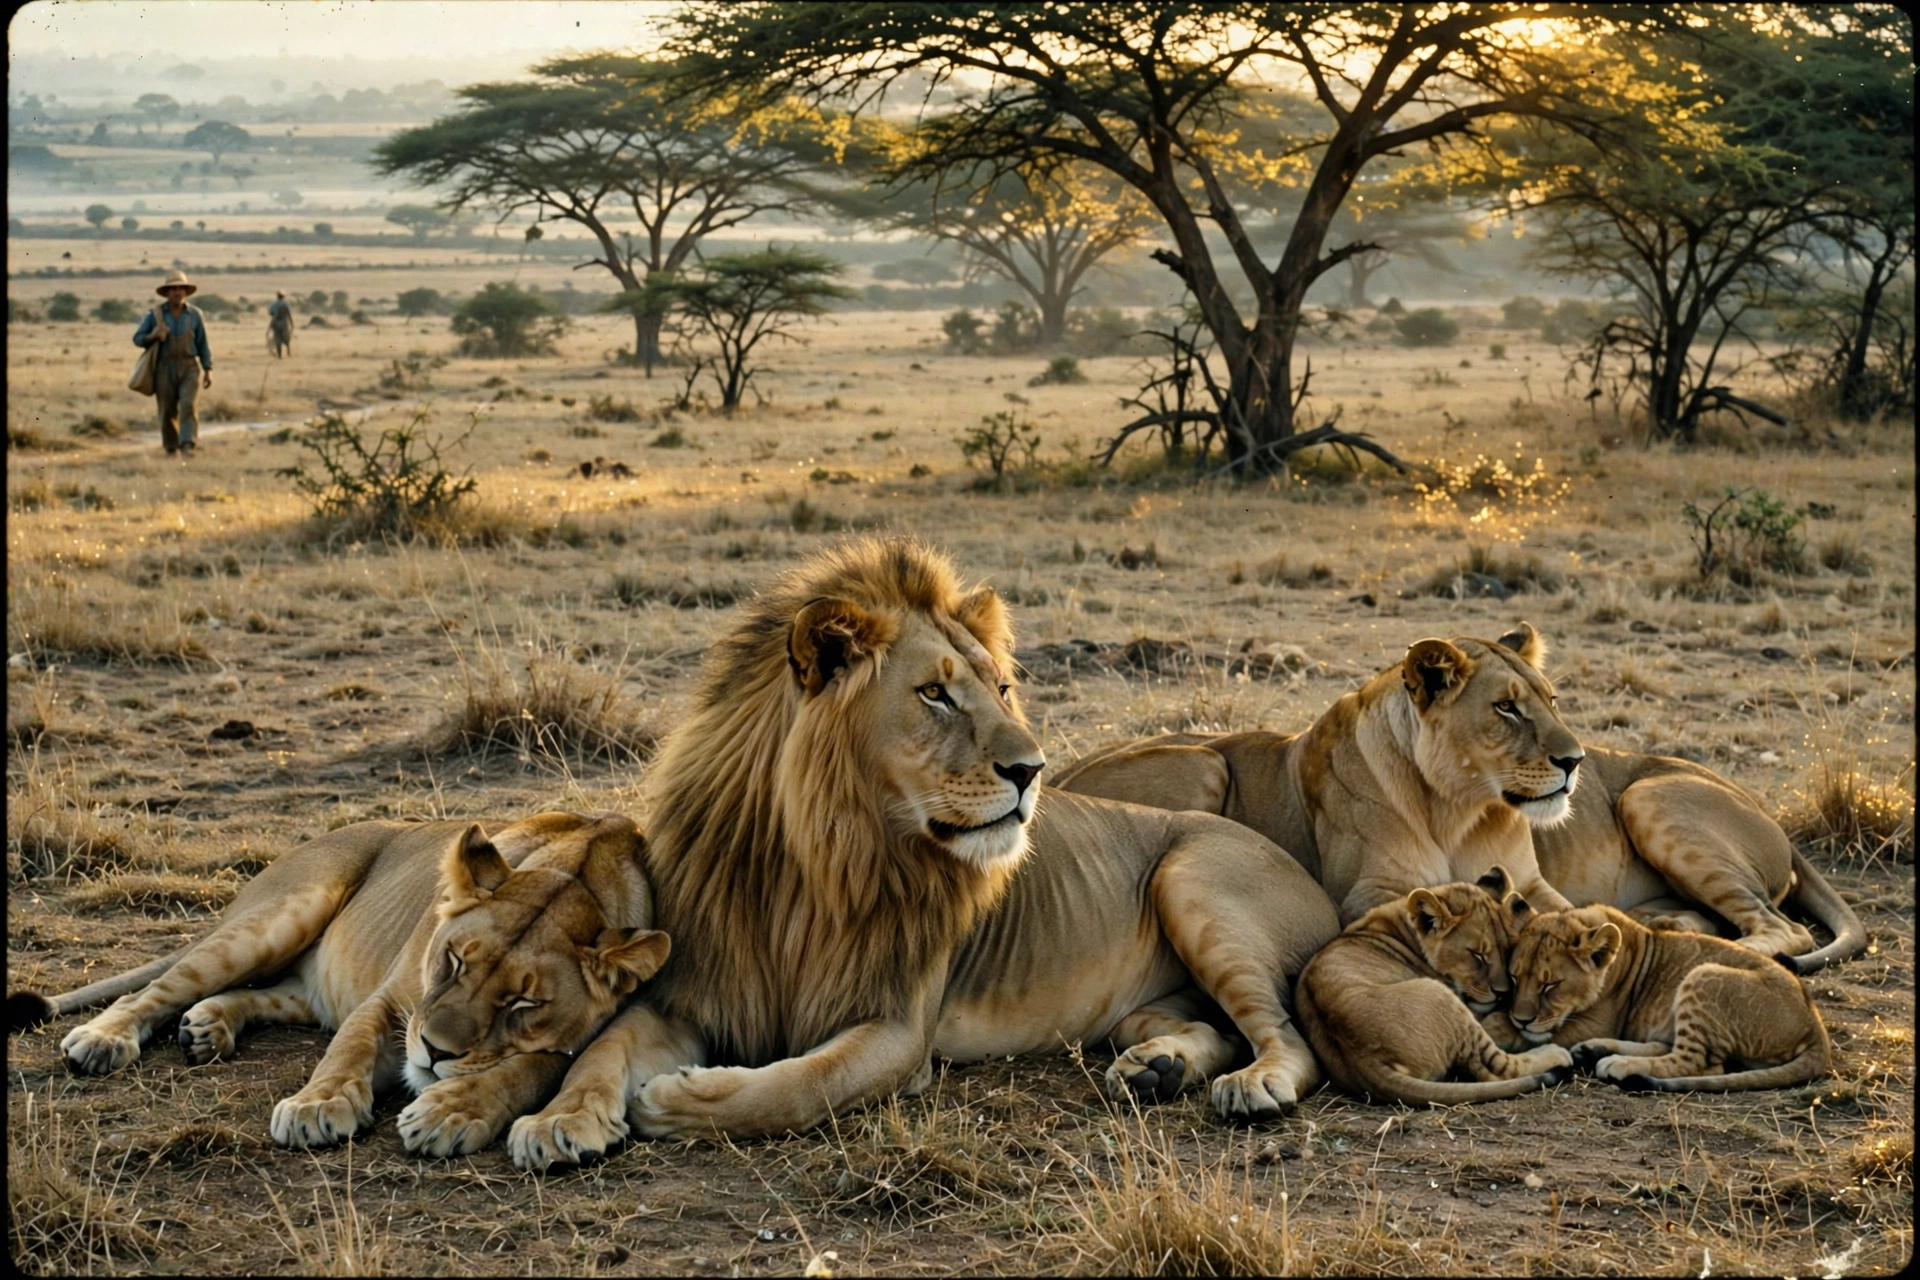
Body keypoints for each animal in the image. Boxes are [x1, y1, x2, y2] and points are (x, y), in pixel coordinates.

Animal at [10, 812, 668, 1157]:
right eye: (454, 960)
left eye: (525, 1001)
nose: (434, 1052)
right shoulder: (396, 1001)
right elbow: (348, 1046)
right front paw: (316, 1106)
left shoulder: (583, 1037)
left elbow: (527, 1067)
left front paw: (451, 1110)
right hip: (279, 917)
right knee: (153, 989)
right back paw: (102, 1041)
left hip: (302, 980)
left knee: (273, 995)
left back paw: (209, 1027)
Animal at [506, 538, 1340, 1168]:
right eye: (935, 695)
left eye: (1002, 689)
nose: (1033, 770)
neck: (812, 864)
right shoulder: (696, 990)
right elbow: (605, 1048)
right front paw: (558, 1122)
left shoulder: (898, 1026)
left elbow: (801, 1084)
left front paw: (681, 1100)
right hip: (1150, 993)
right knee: (1215, 1028)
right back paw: (1158, 1067)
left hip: (1190, 880)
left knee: (1290, 1038)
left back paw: (1254, 1084)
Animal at [1052, 624, 1865, 974]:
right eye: (1506, 708)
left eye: (1551, 699)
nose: (1575, 761)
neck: (1460, 803)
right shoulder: (1365, 893)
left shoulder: (1539, 880)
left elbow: (1554, 911)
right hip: (1204, 767)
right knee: (1778, 929)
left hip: (1651, 794)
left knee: (1779, 929)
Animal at [1296, 867, 1574, 1105]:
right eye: (1477, 955)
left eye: (1506, 951)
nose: (1503, 994)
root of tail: (1366, 1060)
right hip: (1442, 997)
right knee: (1497, 1069)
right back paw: (1556, 1054)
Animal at [1503, 904, 1830, 1092]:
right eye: (1514, 978)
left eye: (1550, 985)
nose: (1521, 1019)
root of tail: (1815, 1024)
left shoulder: (1596, 1022)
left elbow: (1531, 1039)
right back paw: (1595, 1051)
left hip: (1703, 975)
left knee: (1697, 1063)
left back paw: (1618, 1064)